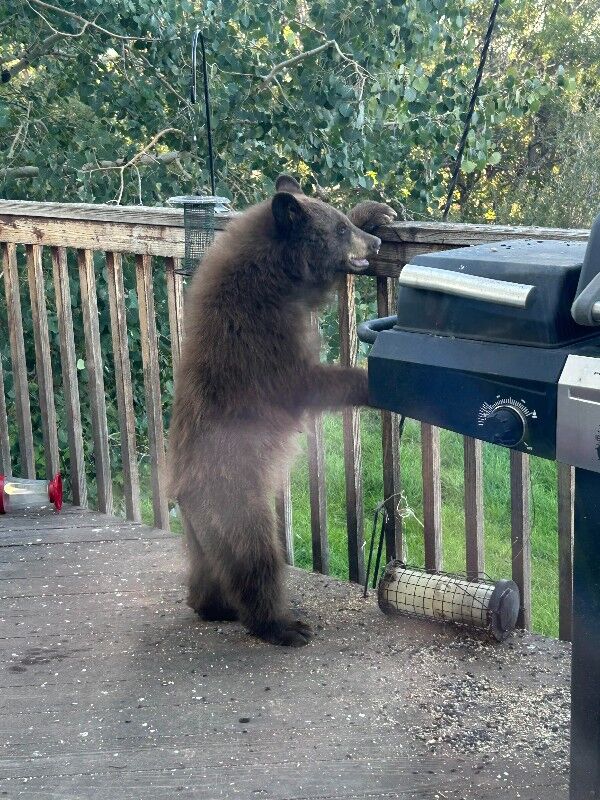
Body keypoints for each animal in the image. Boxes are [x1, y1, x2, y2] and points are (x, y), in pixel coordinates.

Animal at [168, 174, 396, 646]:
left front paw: (376, 210)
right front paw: (372, 379)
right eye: (339, 231)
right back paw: (283, 625)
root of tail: (183, 493)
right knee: (257, 558)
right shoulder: (259, 337)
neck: (277, 275)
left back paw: (212, 605)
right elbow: (304, 382)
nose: (374, 243)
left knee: (207, 568)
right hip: (238, 499)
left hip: (201, 530)